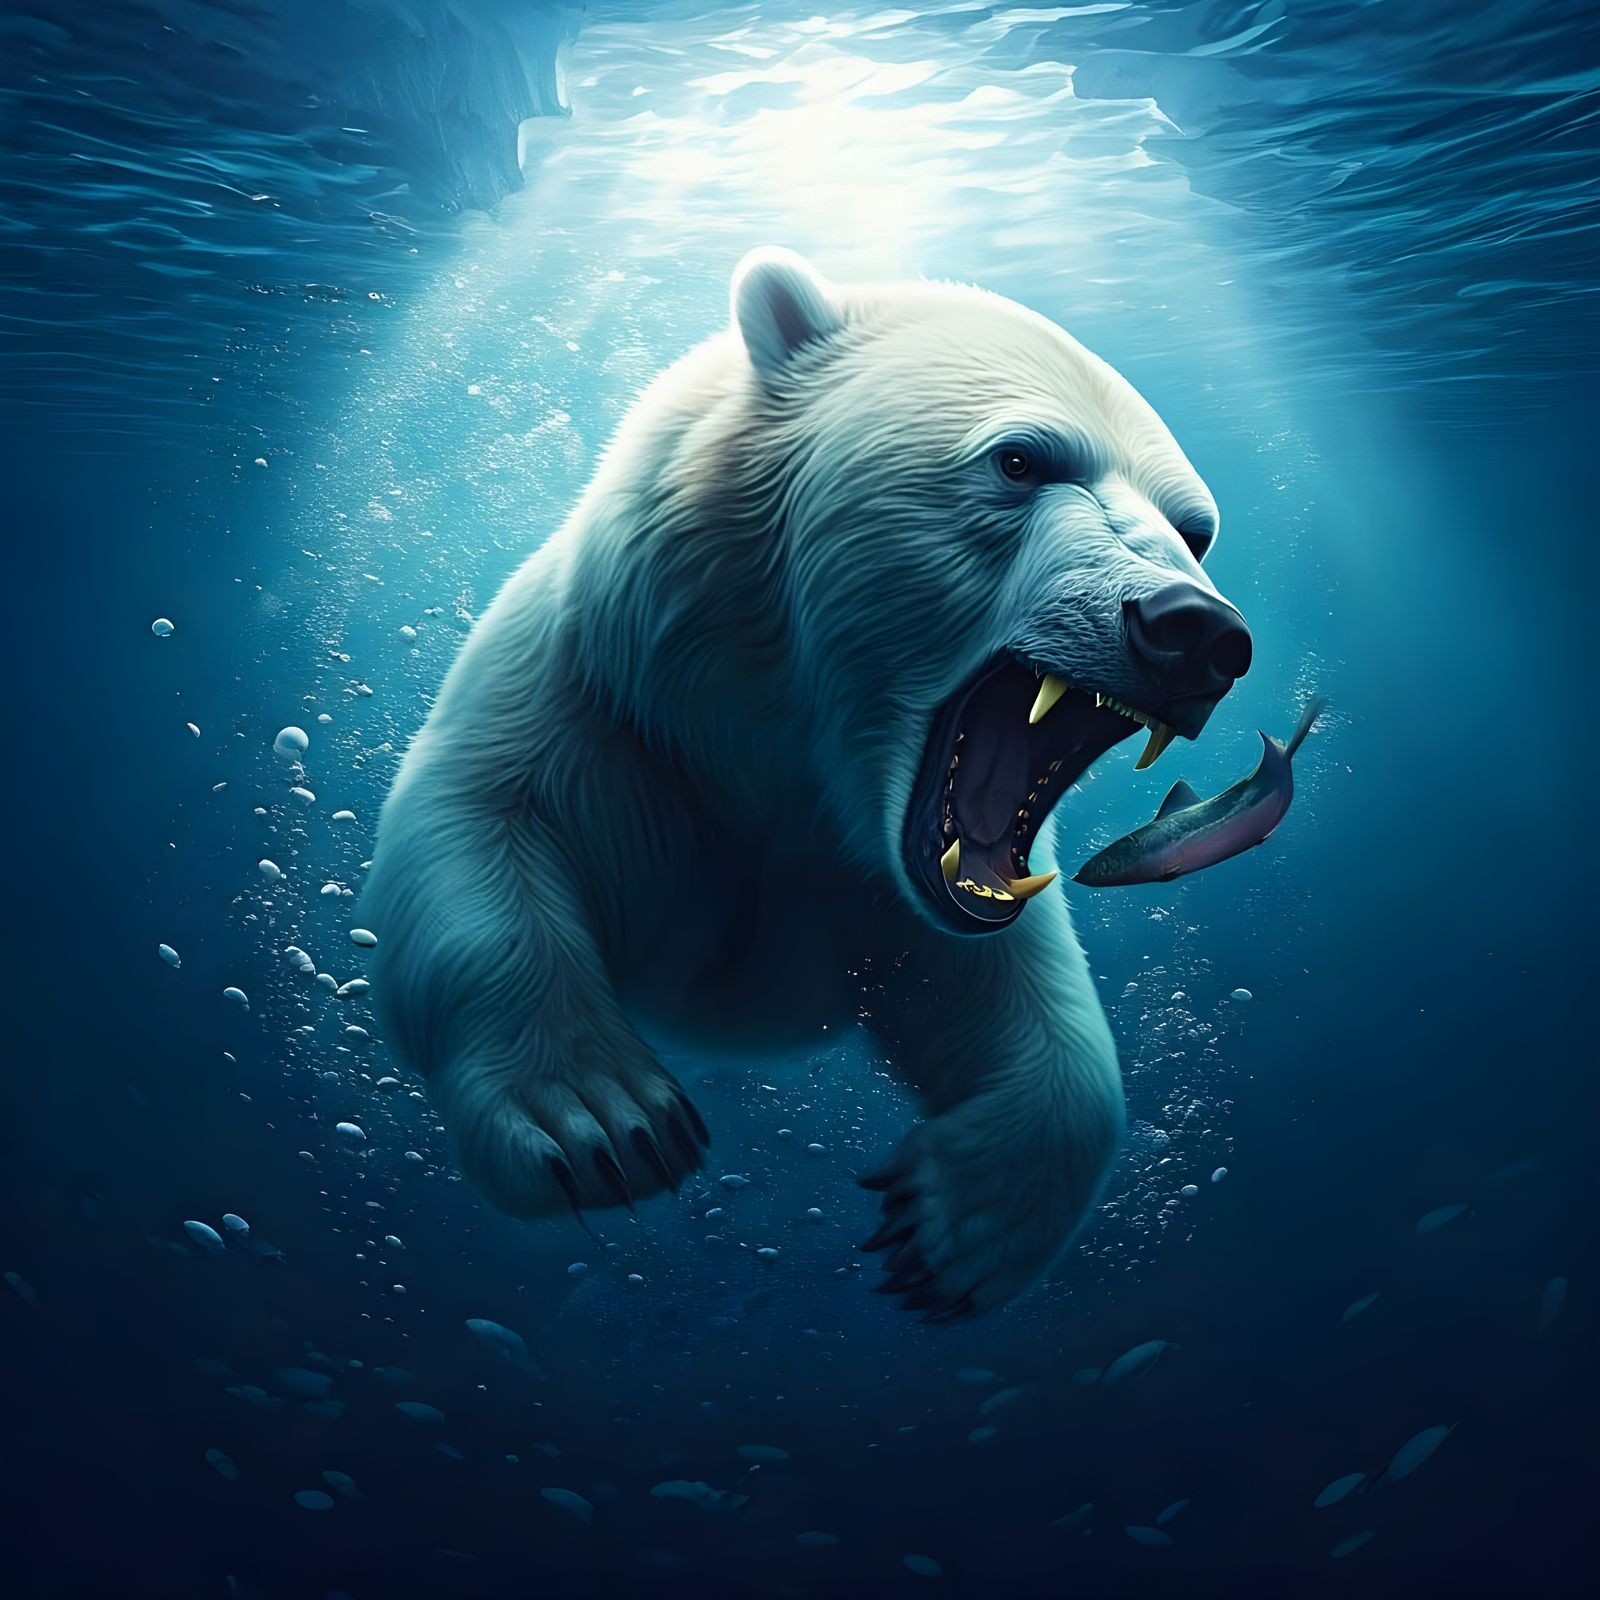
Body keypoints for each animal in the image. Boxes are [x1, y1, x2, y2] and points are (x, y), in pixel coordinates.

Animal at [362, 248, 1252, 1321]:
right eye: (1020, 461)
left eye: (1194, 529)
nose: (1195, 631)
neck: (787, 767)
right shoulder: (604, 715)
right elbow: (469, 827)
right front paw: (605, 1121)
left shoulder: (883, 891)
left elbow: (1024, 996)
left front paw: (954, 1229)